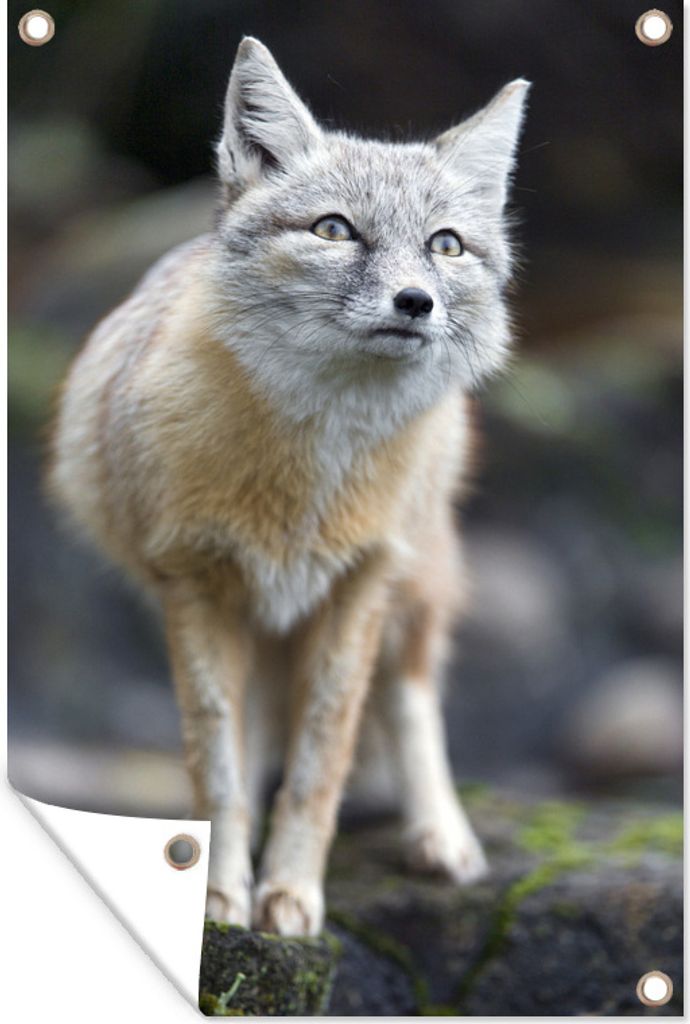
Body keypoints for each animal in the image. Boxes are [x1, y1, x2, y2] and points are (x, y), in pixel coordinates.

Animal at [48, 37, 530, 937]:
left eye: (446, 245)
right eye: (335, 230)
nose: (417, 302)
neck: (307, 483)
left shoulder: (359, 586)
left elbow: (323, 761)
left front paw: (293, 892)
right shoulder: (194, 585)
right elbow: (220, 765)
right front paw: (221, 894)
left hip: (411, 587)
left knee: (410, 696)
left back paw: (440, 835)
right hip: (257, 625)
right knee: (257, 735)